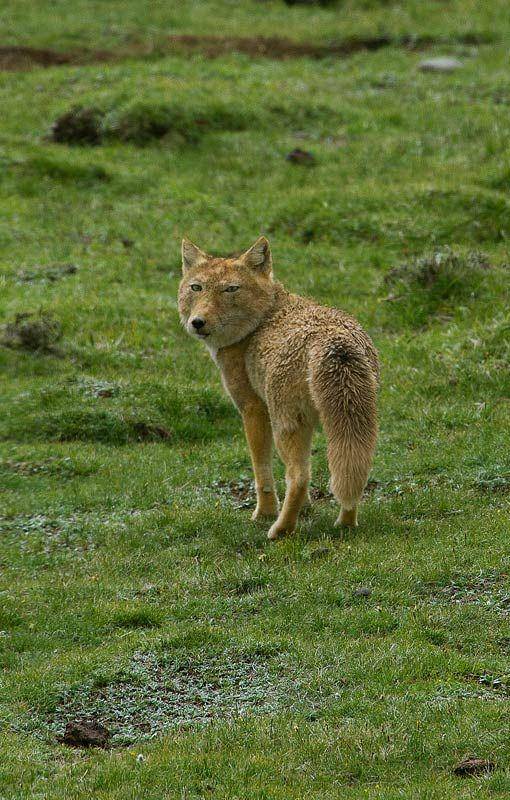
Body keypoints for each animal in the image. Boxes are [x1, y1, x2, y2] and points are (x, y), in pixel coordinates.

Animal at [177, 236, 376, 536]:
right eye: (196, 287)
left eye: (231, 289)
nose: (197, 322)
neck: (263, 319)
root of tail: (335, 341)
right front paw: (305, 511)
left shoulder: (253, 410)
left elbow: (263, 473)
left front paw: (264, 514)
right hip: (351, 428)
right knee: (351, 475)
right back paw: (345, 524)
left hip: (287, 427)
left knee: (299, 477)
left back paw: (280, 530)